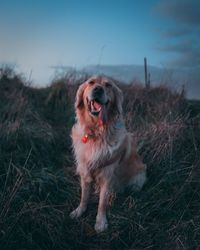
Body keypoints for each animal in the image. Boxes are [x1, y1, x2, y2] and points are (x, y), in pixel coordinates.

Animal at [69, 75, 146, 232]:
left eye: (108, 85)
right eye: (91, 82)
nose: (98, 89)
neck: (97, 132)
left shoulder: (107, 175)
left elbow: (102, 203)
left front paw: (100, 222)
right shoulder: (85, 171)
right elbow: (84, 196)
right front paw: (79, 211)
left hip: (138, 178)